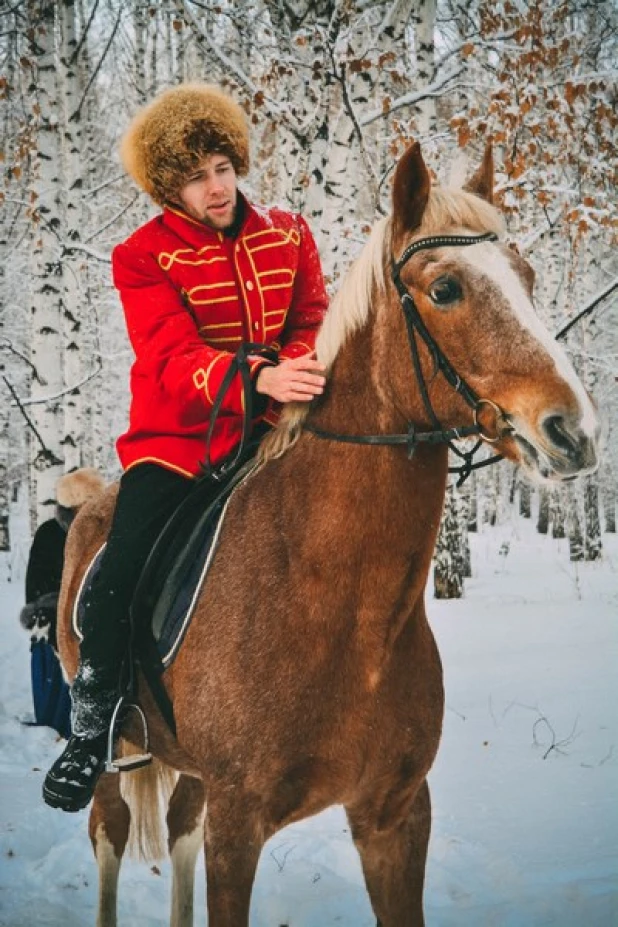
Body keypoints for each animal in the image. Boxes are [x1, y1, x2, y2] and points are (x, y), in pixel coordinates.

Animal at [56, 140, 596, 927]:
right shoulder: (238, 827)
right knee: (109, 834)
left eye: (526, 277)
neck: (338, 605)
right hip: (111, 749)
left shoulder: (395, 816)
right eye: (446, 290)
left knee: (178, 825)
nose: (575, 431)